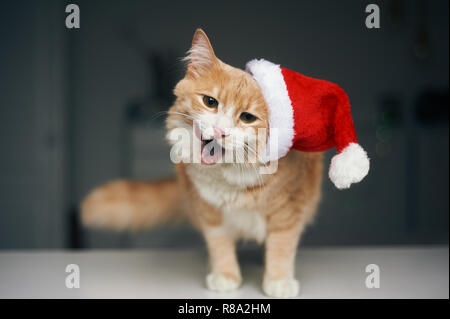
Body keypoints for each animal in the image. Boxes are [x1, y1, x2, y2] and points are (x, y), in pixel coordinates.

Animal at [81, 28, 324, 298]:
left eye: (247, 118)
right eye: (210, 102)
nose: (220, 131)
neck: (230, 173)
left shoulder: (289, 209)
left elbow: (281, 245)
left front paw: (279, 280)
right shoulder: (209, 211)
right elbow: (219, 244)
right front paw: (225, 276)